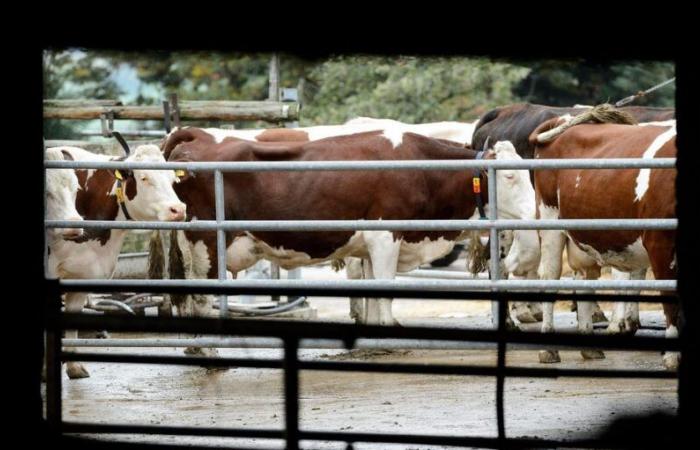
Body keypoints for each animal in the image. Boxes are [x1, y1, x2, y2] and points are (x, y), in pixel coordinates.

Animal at [532, 118, 680, 370]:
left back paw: (589, 347)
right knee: (550, 277)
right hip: (549, 222)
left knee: (585, 280)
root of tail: (564, 120)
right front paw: (672, 357)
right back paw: (548, 349)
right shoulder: (660, 243)